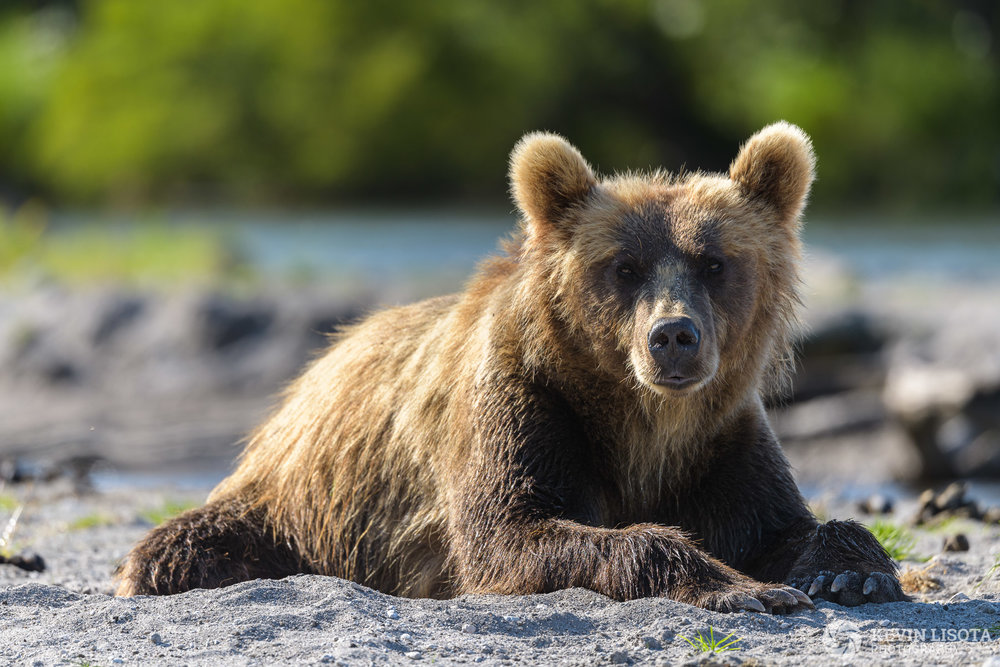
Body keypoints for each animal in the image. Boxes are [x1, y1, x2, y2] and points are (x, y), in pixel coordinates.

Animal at [115, 122, 908, 612]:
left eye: (715, 262)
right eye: (625, 267)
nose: (673, 336)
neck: (640, 422)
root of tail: (309, 378)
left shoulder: (719, 441)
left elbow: (780, 523)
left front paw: (847, 569)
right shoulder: (526, 408)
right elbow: (515, 533)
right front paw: (741, 586)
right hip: (289, 506)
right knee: (182, 551)